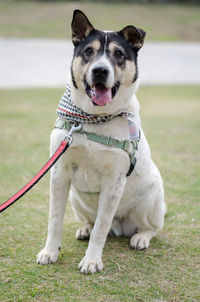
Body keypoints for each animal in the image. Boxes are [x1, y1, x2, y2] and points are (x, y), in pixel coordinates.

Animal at [36, 9, 166, 274]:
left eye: (118, 54)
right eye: (88, 51)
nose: (100, 71)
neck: (92, 119)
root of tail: (121, 226)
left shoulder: (114, 182)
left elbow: (101, 229)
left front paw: (92, 260)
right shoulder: (59, 173)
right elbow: (55, 221)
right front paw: (50, 252)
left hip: (151, 199)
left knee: (149, 227)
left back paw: (141, 237)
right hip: (76, 198)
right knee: (91, 221)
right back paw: (85, 228)